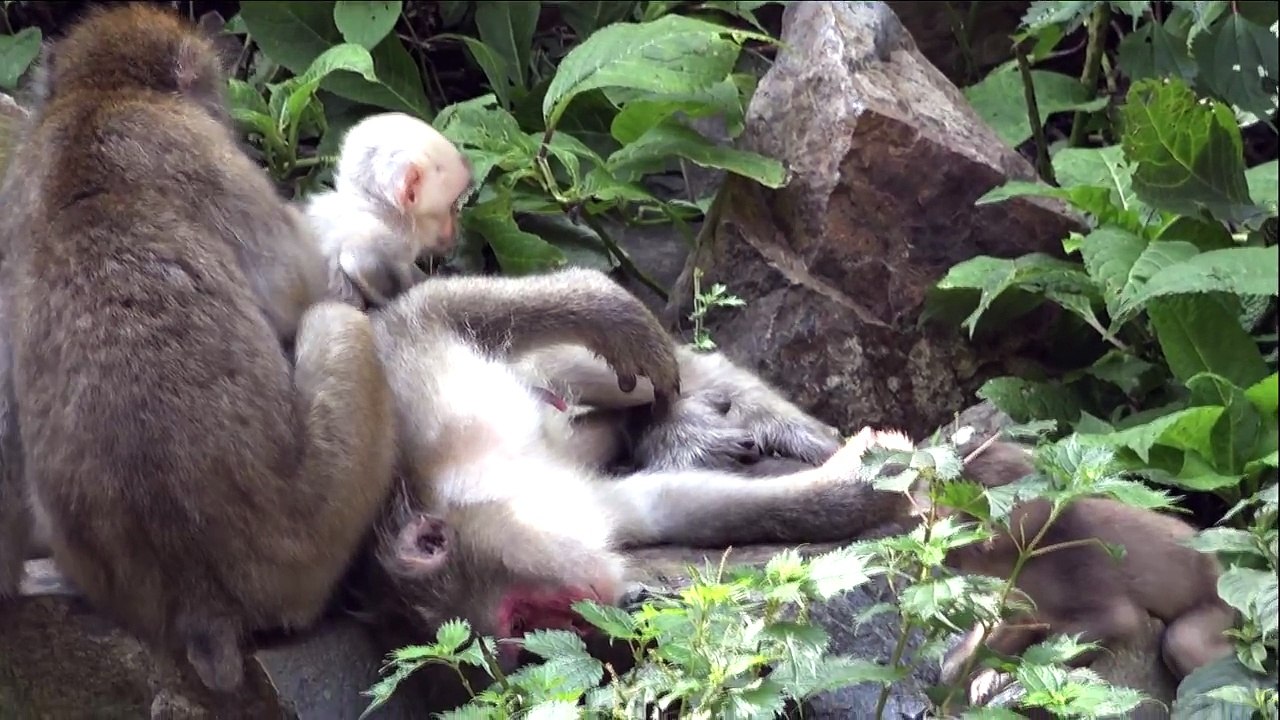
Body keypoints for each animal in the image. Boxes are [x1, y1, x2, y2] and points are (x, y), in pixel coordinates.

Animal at [0, 4, 396, 693]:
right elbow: (294, 286)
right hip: (310, 535)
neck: (98, 96)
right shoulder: (200, 151)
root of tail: (200, 601)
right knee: (338, 324)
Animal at [340, 270, 917, 711]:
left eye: (521, 618)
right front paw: (851, 490)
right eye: (527, 648)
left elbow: (430, 311)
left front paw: (610, 311)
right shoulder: (570, 511)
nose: (590, 623)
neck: (486, 491)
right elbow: (669, 506)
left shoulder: (428, 404)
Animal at [851, 430, 1237, 704]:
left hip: (1216, 613)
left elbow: (1114, 620)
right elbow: (1005, 628)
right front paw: (964, 672)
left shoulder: (1080, 566)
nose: (931, 539)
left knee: (1183, 641)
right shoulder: (1017, 591)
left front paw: (1000, 676)